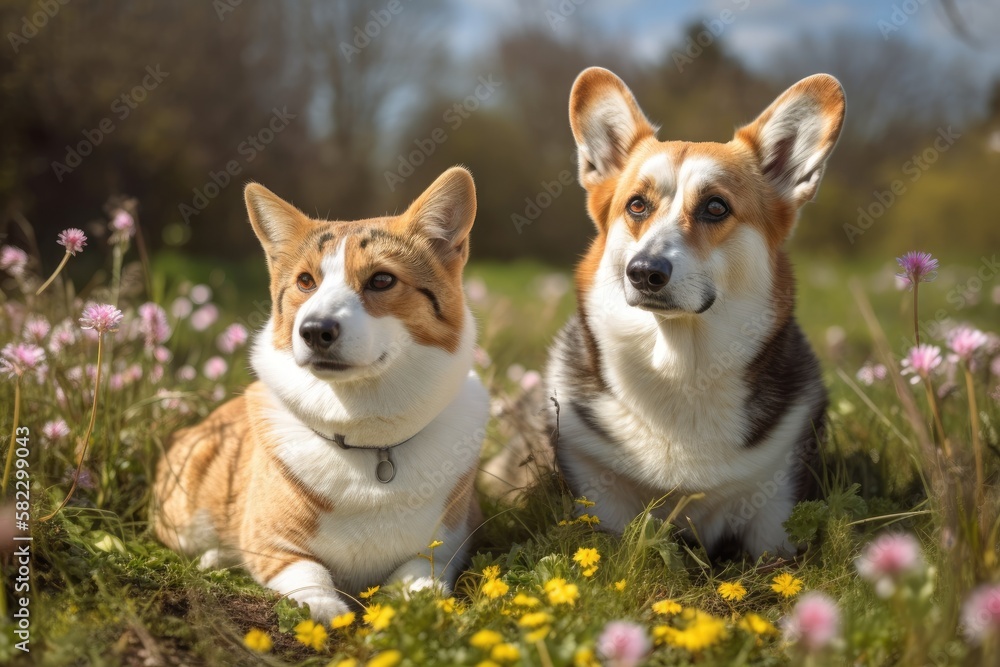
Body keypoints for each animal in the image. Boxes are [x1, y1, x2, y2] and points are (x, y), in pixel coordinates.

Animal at [151, 168, 488, 620]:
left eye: (382, 279)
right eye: (305, 282)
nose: (314, 331)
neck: (370, 442)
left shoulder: (451, 540)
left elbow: (420, 574)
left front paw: (411, 600)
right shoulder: (273, 545)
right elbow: (307, 572)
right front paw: (323, 608)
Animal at [548, 69, 844, 560]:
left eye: (715, 207)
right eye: (636, 205)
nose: (644, 271)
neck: (682, 362)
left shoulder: (775, 505)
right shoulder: (597, 489)